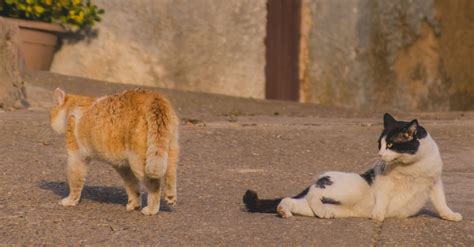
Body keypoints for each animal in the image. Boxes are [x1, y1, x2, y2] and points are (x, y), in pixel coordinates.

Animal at [50, 88, 180, 215]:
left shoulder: (76, 156)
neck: (72, 108)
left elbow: (75, 179)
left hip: (139, 162)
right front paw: (134, 204)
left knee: (154, 185)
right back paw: (170, 197)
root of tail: (154, 97)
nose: (50, 119)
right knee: (171, 172)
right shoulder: (122, 166)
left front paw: (71, 200)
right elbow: (132, 185)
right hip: (166, 149)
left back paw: (151, 210)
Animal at [244, 113, 462, 221]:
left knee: (289, 200)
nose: (379, 155)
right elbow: (382, 199)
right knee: (314, 192)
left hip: (312, 205)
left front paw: (449, 216)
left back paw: (288, 212)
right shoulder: (384, 183)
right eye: (380, 144)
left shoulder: (435, 183)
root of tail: (319, 177)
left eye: (391, 145)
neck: (412, 167)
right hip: (348, 187)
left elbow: (441, 203)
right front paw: (378, 216)